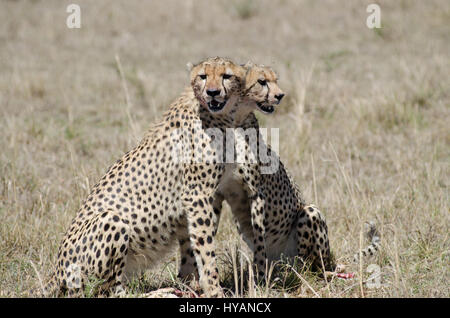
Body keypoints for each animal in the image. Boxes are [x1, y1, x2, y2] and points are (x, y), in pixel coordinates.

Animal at [43, 56, 268, 296]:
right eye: (203, 76)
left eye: (227, 76)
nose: (213, 92)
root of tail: (55, 271)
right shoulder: (197, 194)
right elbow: (205, 247)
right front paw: (214, 290)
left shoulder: (208, 196)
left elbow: (192, 245)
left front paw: (191, 284)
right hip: (111, 220)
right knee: (112, 291)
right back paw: (161, 292)